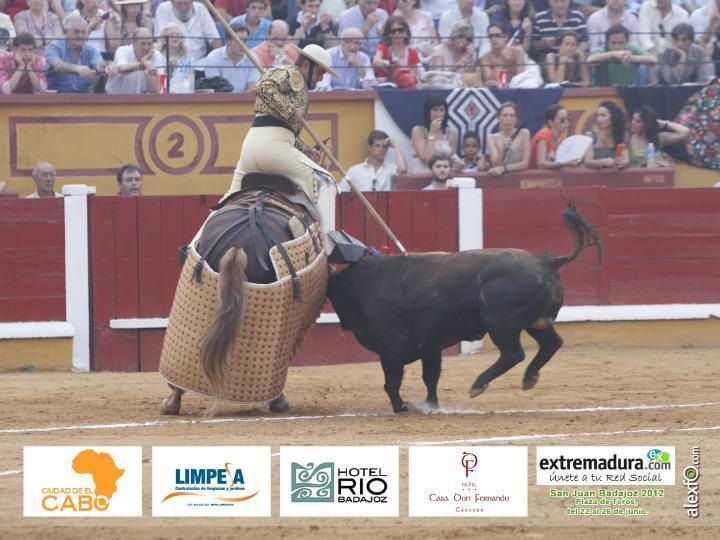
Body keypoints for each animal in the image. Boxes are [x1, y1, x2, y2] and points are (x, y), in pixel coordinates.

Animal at [326, 200, 600, 412]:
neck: (360, 283)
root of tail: (546, 261)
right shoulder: (430, 346)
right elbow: (431, 377)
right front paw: (431, 406)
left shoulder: (390, 349)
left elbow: (392, 382)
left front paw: (402, 406)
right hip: (535, 321)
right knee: (552, 343)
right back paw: (529, 378)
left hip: (501, 323)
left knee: (513, 353)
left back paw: (479, 385)